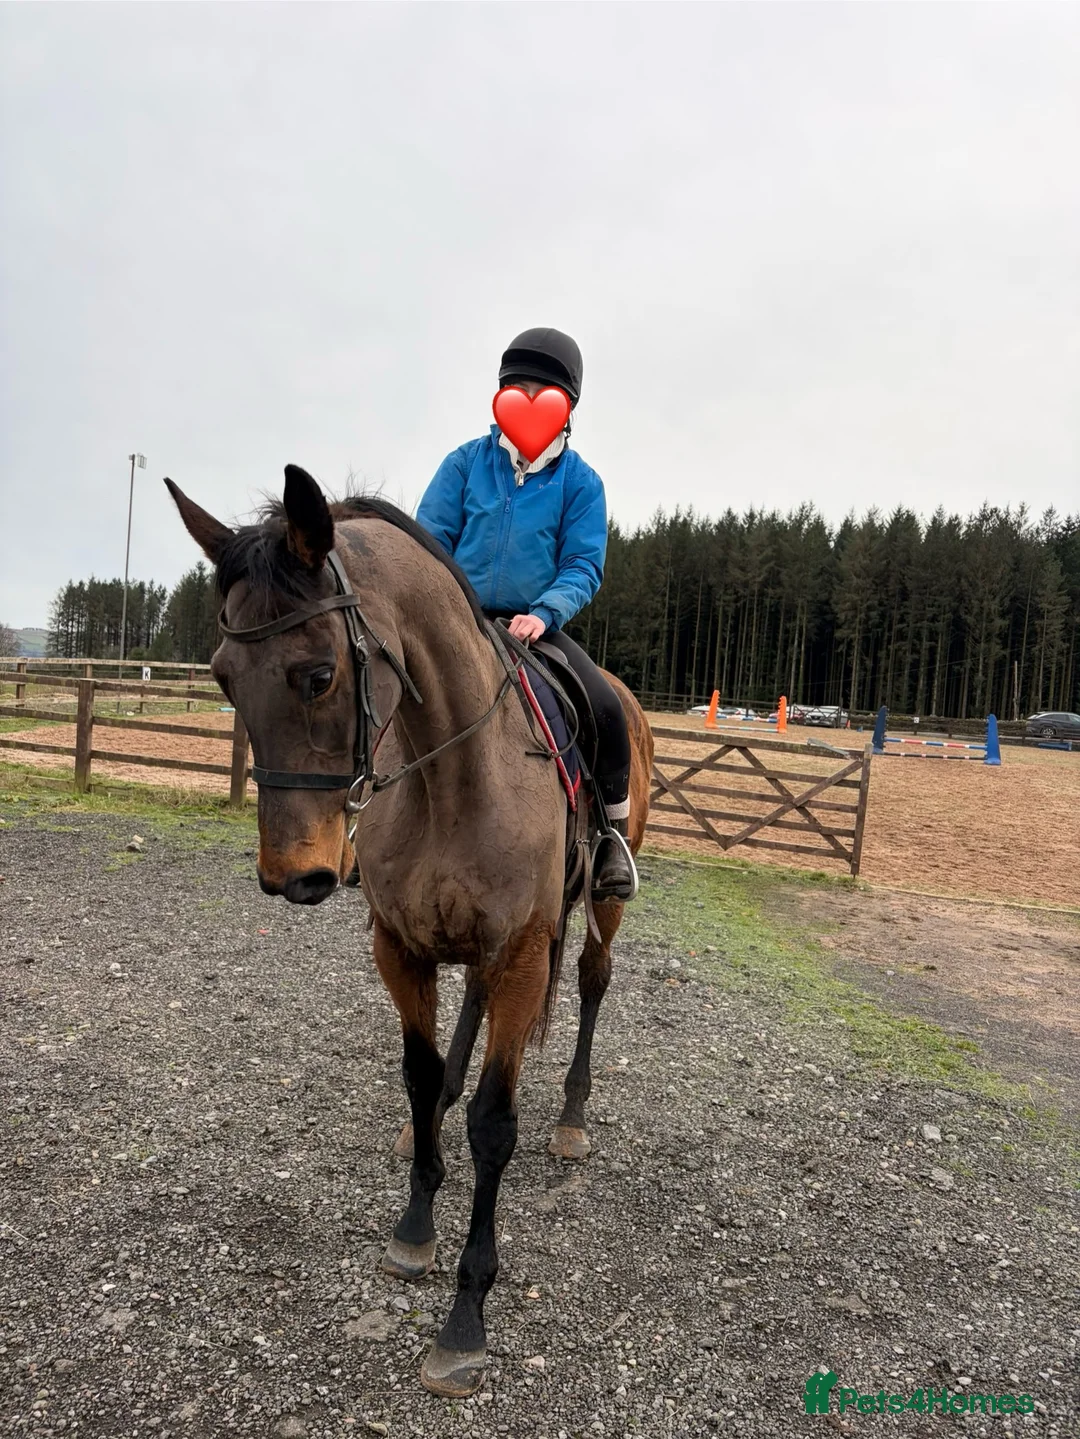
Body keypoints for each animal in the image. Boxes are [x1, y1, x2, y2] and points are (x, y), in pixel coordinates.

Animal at [166, 464, 653, 1398]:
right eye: (222, 676)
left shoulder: (521, 953)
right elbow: (420, 1079)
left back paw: (572, 1115)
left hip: (600, 908)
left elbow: (494, 1125)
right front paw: (416, 1223)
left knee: (594, 980)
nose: (295, 875)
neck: (456, 774)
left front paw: (465, 1318)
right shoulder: (399, 945)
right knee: (468, 1016)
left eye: (318, 674)